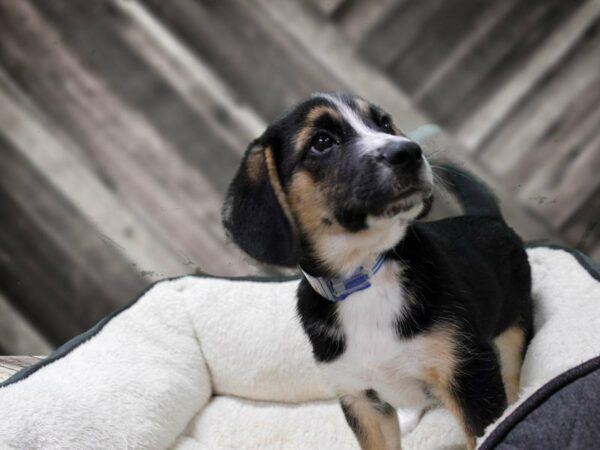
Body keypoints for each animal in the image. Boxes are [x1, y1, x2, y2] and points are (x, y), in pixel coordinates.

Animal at [223, 92, 532, 450]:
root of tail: (487, 217)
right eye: (321, 142)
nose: (410, 151)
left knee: (512, 374)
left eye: (383, 123)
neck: (365, 275)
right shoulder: (360, 398)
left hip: (512, 329)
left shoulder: (466, 373)